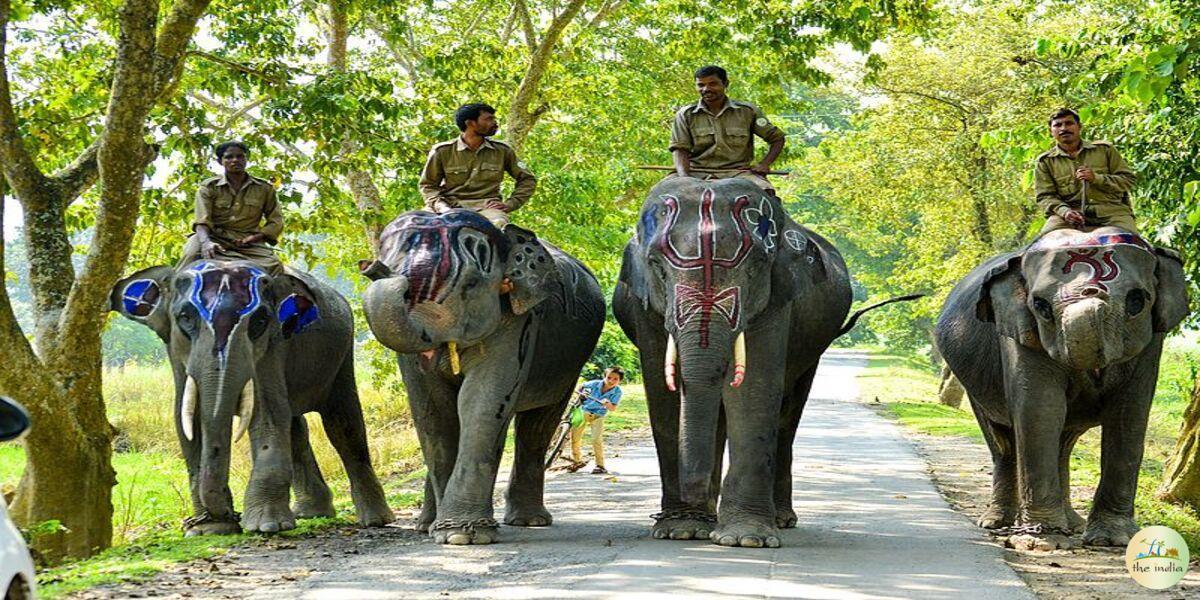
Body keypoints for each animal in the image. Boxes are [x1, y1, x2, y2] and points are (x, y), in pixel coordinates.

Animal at [109, 258, 391, 535]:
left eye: (259, 321)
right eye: (185, 318)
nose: (230, 515)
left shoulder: (273, 347)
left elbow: (268, 415)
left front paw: (266, 526)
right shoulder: (175, 353)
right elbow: (186, 422)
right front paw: (208, 530)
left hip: (342, 354)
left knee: (343, 425)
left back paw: (375, 520)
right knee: (297, 427)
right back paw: (311, 513)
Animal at [352, 210, 600, 544]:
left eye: (470, 284)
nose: (370, 267)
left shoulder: (519, 320)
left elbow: (481, 403)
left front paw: (462, 536)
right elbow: (432, 411)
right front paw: (446, 532)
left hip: (567, 365)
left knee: (538, 425)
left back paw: (530, 521)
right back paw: (425, 525)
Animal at [619, 175, 907, 549]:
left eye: (756, 268)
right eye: (657, 268)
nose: (693, 491)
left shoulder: (776, 298)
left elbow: (754, 390)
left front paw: (746, 539)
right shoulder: (645, 308)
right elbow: (662, 391)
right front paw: (680, 530)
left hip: (813, 349)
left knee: (787, 414)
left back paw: (780, 519)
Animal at [931, 228, 1185, 549]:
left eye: (1137, 301)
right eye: (1040, 306)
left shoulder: (1152, 342)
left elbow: (1129, 414)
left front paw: (1112, 540)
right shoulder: (1017, 332)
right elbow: (1040, 410)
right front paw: (1042, 542)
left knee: (1063, 444)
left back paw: (1073, 525)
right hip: (972, 381)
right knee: (1002, 442)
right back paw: (996, 522)